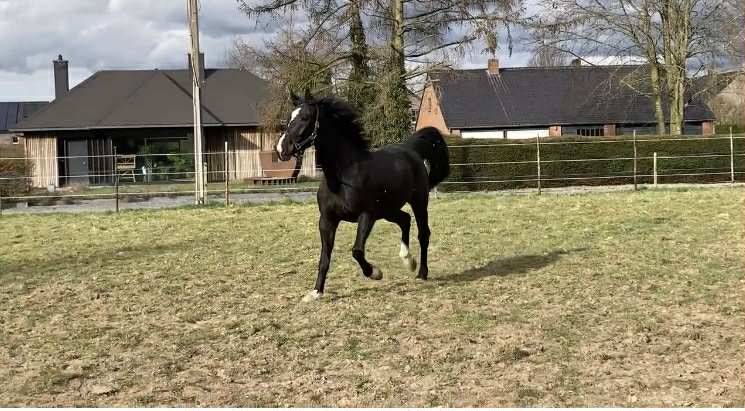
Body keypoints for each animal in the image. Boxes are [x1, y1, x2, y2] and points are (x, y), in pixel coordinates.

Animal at [276, 89, 450, 302]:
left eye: (305, 118)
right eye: (289, 118)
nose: (281, 149)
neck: (342, 177)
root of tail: (411, 151)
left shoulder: (366, 215)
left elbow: (357, 251)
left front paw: (375, 273)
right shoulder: (327, 220)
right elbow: (324, 258)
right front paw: (316, 292)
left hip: (418, 202)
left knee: (423, 233)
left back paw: (421, 272)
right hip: (387, 210)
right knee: (405, 220)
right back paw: (408, 260)